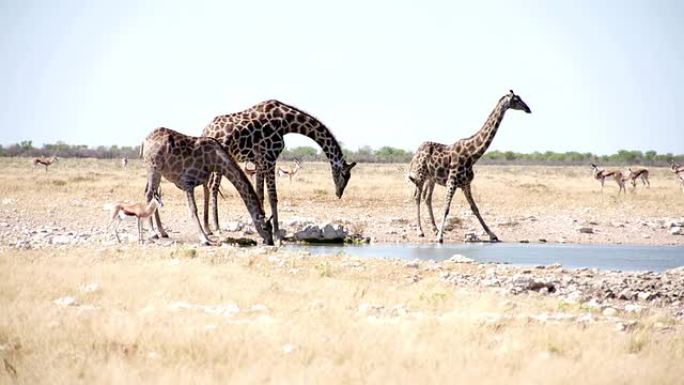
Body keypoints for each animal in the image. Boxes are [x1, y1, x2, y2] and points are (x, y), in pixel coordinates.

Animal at [140, 127, 274, 244]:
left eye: (271, 228)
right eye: (265, 228)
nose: (270, 242)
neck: (215, 159)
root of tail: (144, 141)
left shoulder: (203, 180)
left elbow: (205, 201)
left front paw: (207, 234)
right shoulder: (187, 183)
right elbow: (193, 210)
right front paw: (205, 239)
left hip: (157, 171)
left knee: (152, 194)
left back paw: (163, 232)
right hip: (153, 168)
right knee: (149, 194)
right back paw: (153, 233)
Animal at [200, 97, 356, 238]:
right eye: (344, 175)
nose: (339, 193)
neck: (286, 122)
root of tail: (206, 131)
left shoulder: (259, 161)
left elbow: (260, 194)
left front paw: (264, 225)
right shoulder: (270, 157)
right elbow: (273, 197)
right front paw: (277, 235)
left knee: (207, 185)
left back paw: (207, 228)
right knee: (213, 187)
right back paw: (216, 228)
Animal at [406, 90, 536, 242]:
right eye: (516, 100)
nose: (528, 109)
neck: (472, 155)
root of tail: (416, 153)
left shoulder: (466, 184)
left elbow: (475, 208)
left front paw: (492, 234)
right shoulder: (452, 182)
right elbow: (446, 208)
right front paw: (440, 238)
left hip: (430, 178)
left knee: (427, 198)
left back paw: (434, 229)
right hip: (420, 175)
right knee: (417, 197)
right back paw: (420, 231)